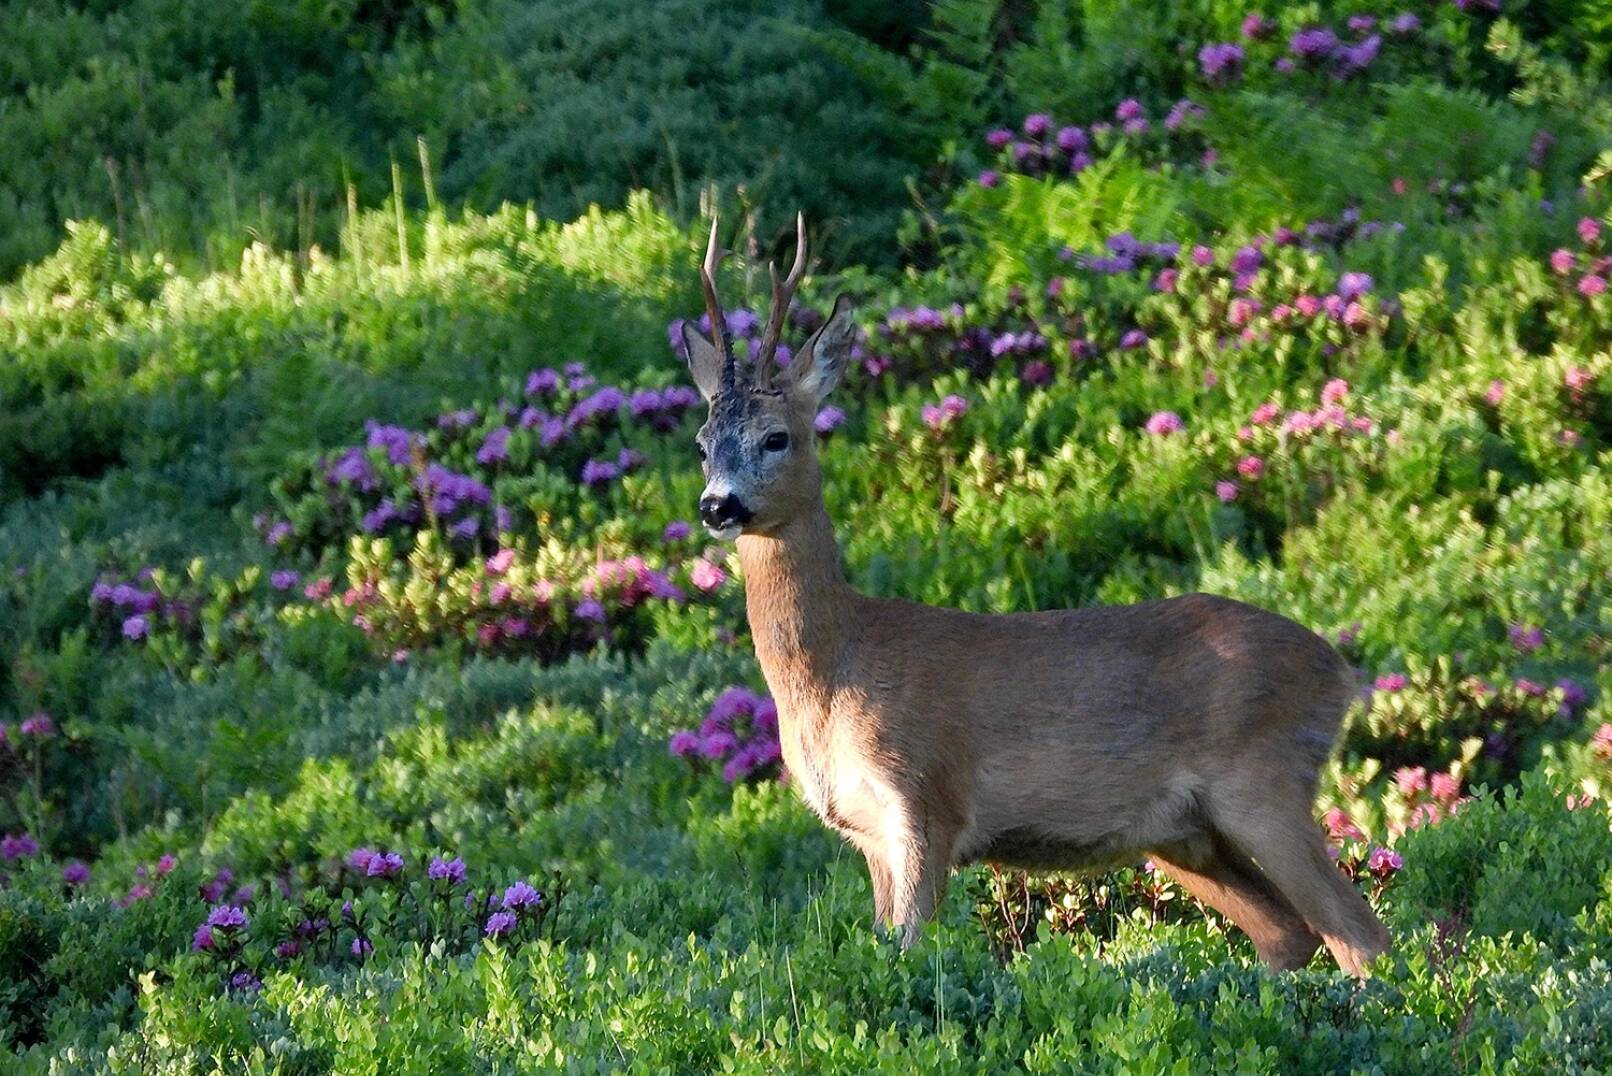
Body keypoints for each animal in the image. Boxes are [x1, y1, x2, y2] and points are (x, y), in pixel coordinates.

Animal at [673, 214, 1392, 980]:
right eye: (702, 442)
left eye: (776, 437)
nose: (718, 506)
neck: (839, 666)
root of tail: (1338, 672)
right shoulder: (867, 833)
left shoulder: (925, 798)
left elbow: (913, 949)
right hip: (1187, 833)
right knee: (1290, 933)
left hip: (1264, 780)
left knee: (1362, 936)